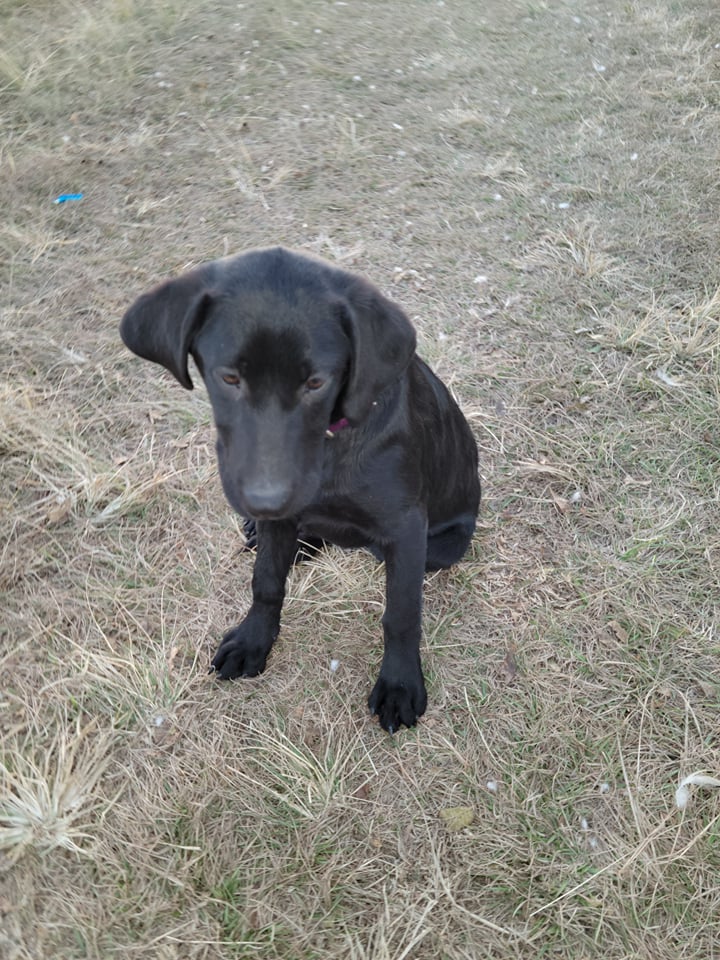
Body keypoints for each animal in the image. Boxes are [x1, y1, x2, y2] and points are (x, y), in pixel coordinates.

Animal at [119, 249, 478, 736]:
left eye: (316, 383)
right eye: (229, 378)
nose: (264, 501)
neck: (330, 443)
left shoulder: (405, 528)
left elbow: (401, 614)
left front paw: (400, 684)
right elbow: (266, 581)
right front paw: (253, 640)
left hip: (444, 544)